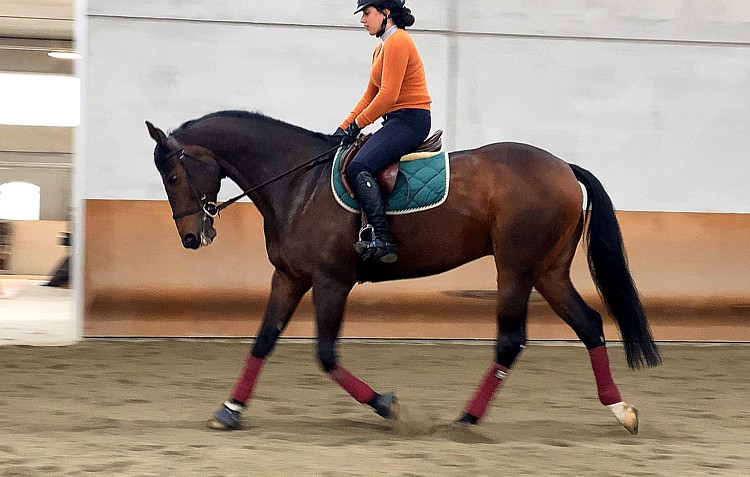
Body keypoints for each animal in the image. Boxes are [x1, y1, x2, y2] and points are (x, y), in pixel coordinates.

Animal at [148, 110, 664, 436]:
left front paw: (386, 405)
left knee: (511, 340)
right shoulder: (290, 278)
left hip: (516, 268)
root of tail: (564, 167)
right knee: (589, 324)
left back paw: (466, 420)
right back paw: (621, 410)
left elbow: (326, 354)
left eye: (172, 176)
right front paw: (229, 410)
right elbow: (262, 341)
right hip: (548, 271)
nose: (191, 238)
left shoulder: (330, 282)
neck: (297, 184)